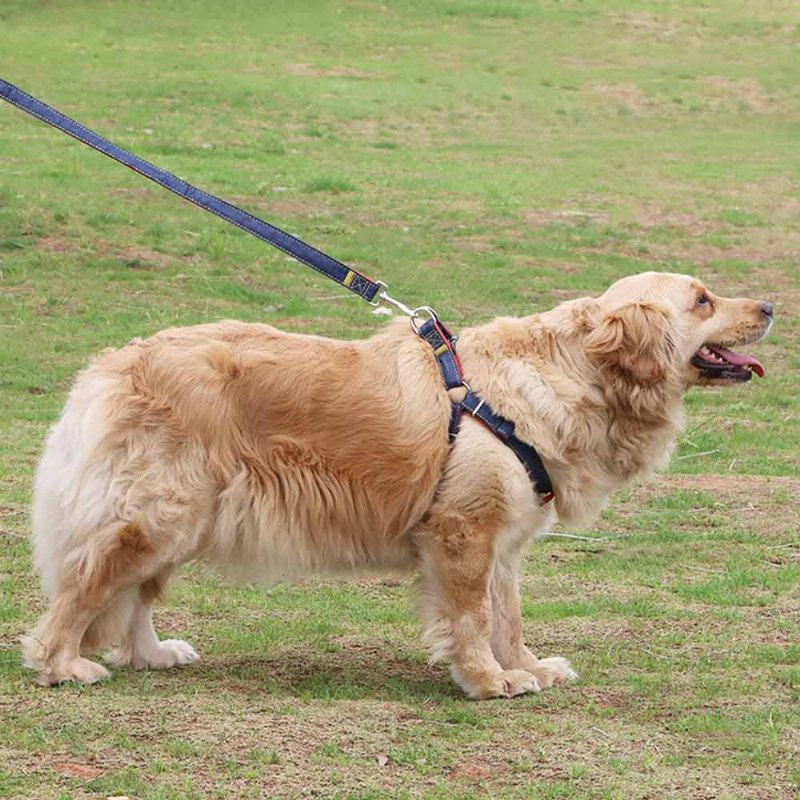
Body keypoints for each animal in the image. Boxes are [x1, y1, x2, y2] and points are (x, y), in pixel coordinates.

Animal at [23, 272, 768, 696]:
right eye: (703, 300)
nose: (767, 305)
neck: (573, 371)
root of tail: (113, 364)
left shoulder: (505, 542)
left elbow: (508, 616)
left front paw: (526, 667)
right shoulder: (463, 532)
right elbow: (472, 618)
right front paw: (487, 680)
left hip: (184, 519)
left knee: (132, 596)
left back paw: (151, 654)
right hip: (159, 514)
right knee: (85, 589)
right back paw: (63, 665)